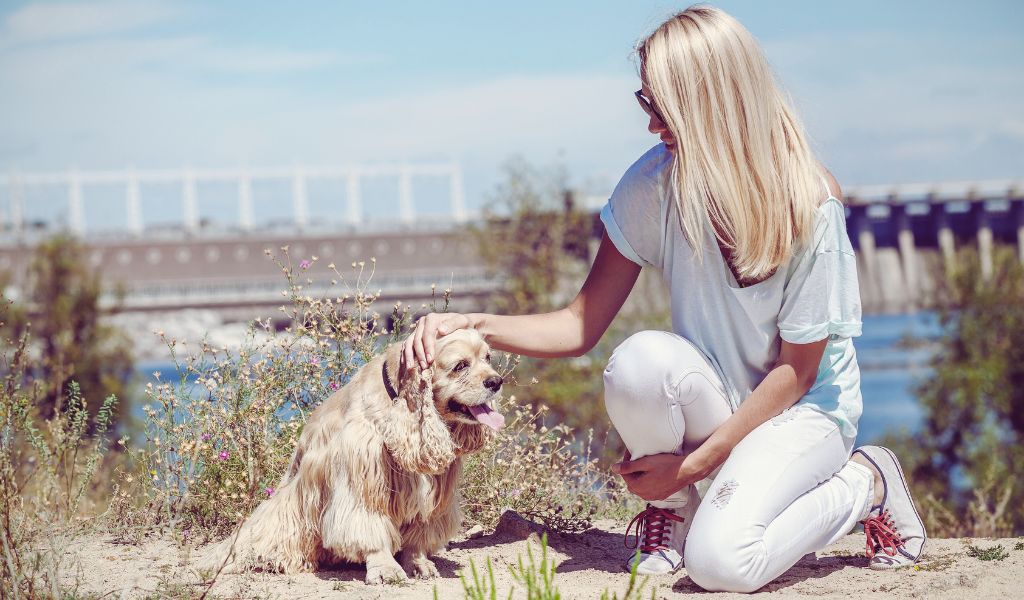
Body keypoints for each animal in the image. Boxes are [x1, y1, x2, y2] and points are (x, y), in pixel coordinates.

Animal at [206, 329, 507, 581]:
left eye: (488, 358)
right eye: (460, 366)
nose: (496, 381)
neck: (400, 404)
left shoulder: (436, 487)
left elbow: (419, 534)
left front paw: (418, 562)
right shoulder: (363, 477)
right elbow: (368, 526)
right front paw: (385, 568)